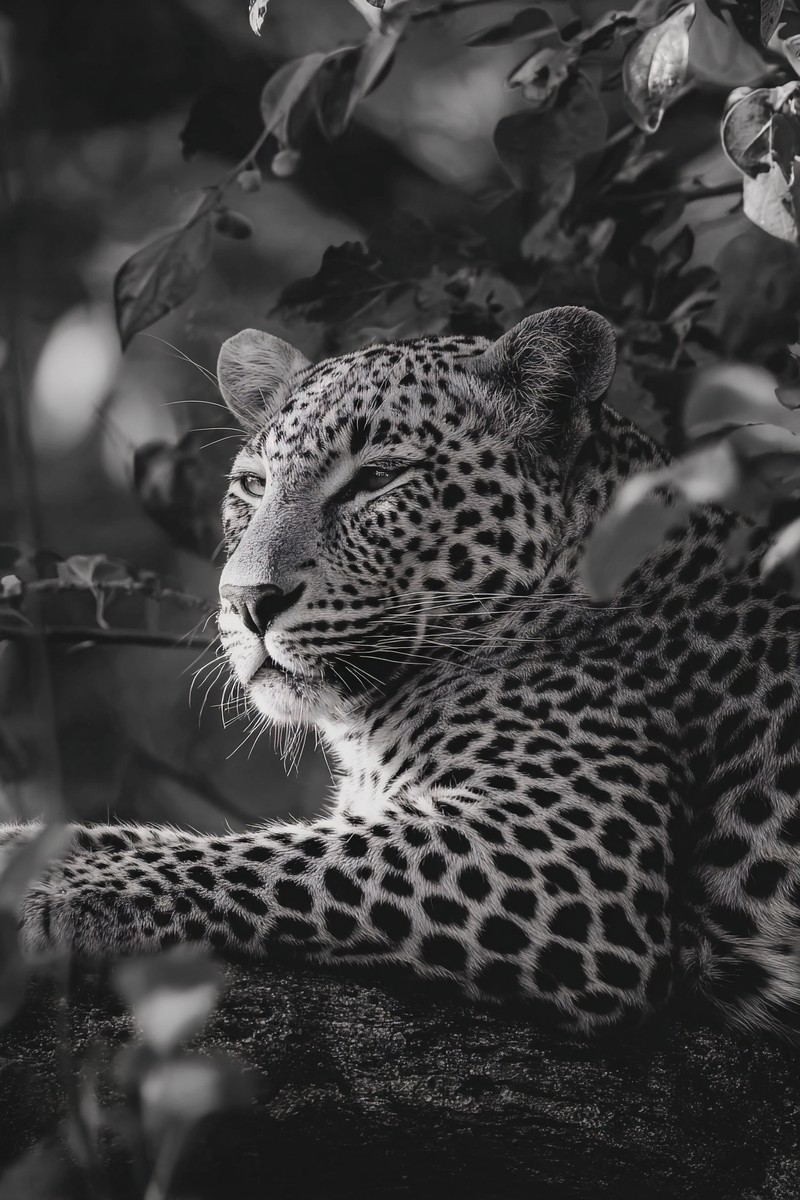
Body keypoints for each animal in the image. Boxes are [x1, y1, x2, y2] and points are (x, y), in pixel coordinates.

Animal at [5, 305, 800, 1039]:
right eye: (254, 485)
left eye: (379, 478)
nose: (245, 601)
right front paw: (25, 848)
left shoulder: (562, 848)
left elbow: (274, 855)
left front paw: (59, 891)